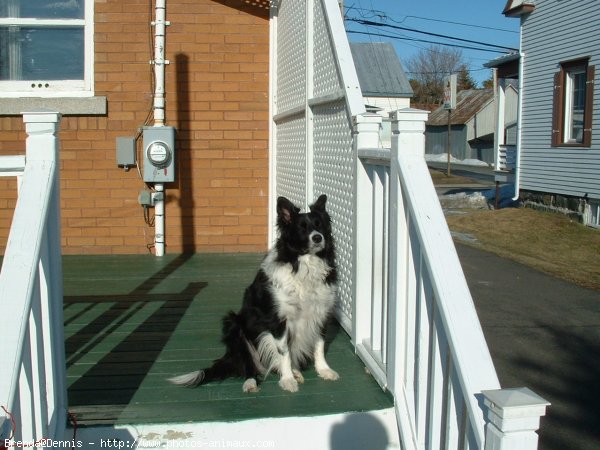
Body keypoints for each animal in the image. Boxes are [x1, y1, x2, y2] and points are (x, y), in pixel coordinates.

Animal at [170, 195, 338, 392]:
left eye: (319, 225)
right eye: (301, 228)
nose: (318, 238)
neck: (304, 265)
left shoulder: (320, 313)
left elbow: (319, 345)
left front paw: (324, 370)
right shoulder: (278, 320)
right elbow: (284, 352)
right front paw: (288, 380)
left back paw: (295, 372)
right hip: (234, 326)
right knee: (249, 364)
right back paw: (251, 382)